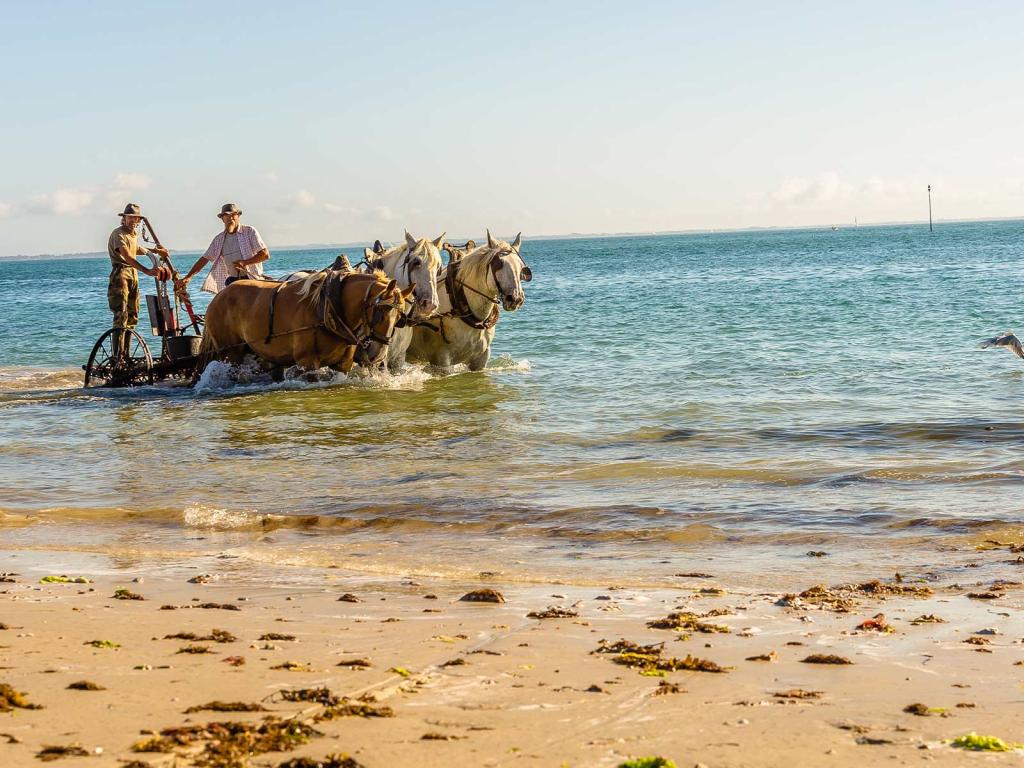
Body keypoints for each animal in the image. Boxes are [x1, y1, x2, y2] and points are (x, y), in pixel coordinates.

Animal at [195, 272, 411, 376]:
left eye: (400, 318)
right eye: (381, 312)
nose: (378, 354)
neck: (329, 308)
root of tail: (219, 296)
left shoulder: (344, 364)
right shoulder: (307, 362)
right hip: (230, 352)